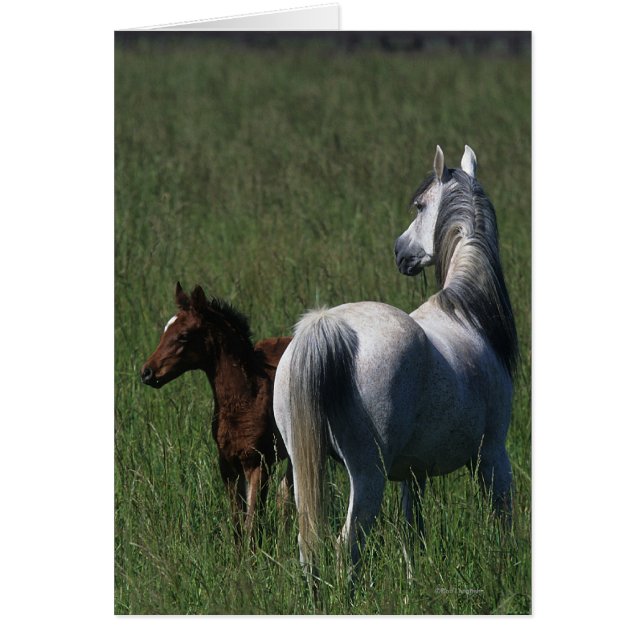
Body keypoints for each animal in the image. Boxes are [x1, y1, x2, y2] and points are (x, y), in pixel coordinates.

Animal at [141, 282, 293, 540]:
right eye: (164, 330)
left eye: (183, 336)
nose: (147, 372)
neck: (246, 399)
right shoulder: (228, 466)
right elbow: (238, 525)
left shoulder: (258, 464)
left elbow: (252, 524)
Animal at [273, 144, 518, 576]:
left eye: (419, 206)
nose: (399, 250)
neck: (466, 313)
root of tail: (328, 326)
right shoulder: (492, 456)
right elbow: (502, 520)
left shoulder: (412, 473)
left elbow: (411, 533)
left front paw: (411, 583)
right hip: (367, 475)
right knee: (347, 546)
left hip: (305, 468)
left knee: (309, 547)